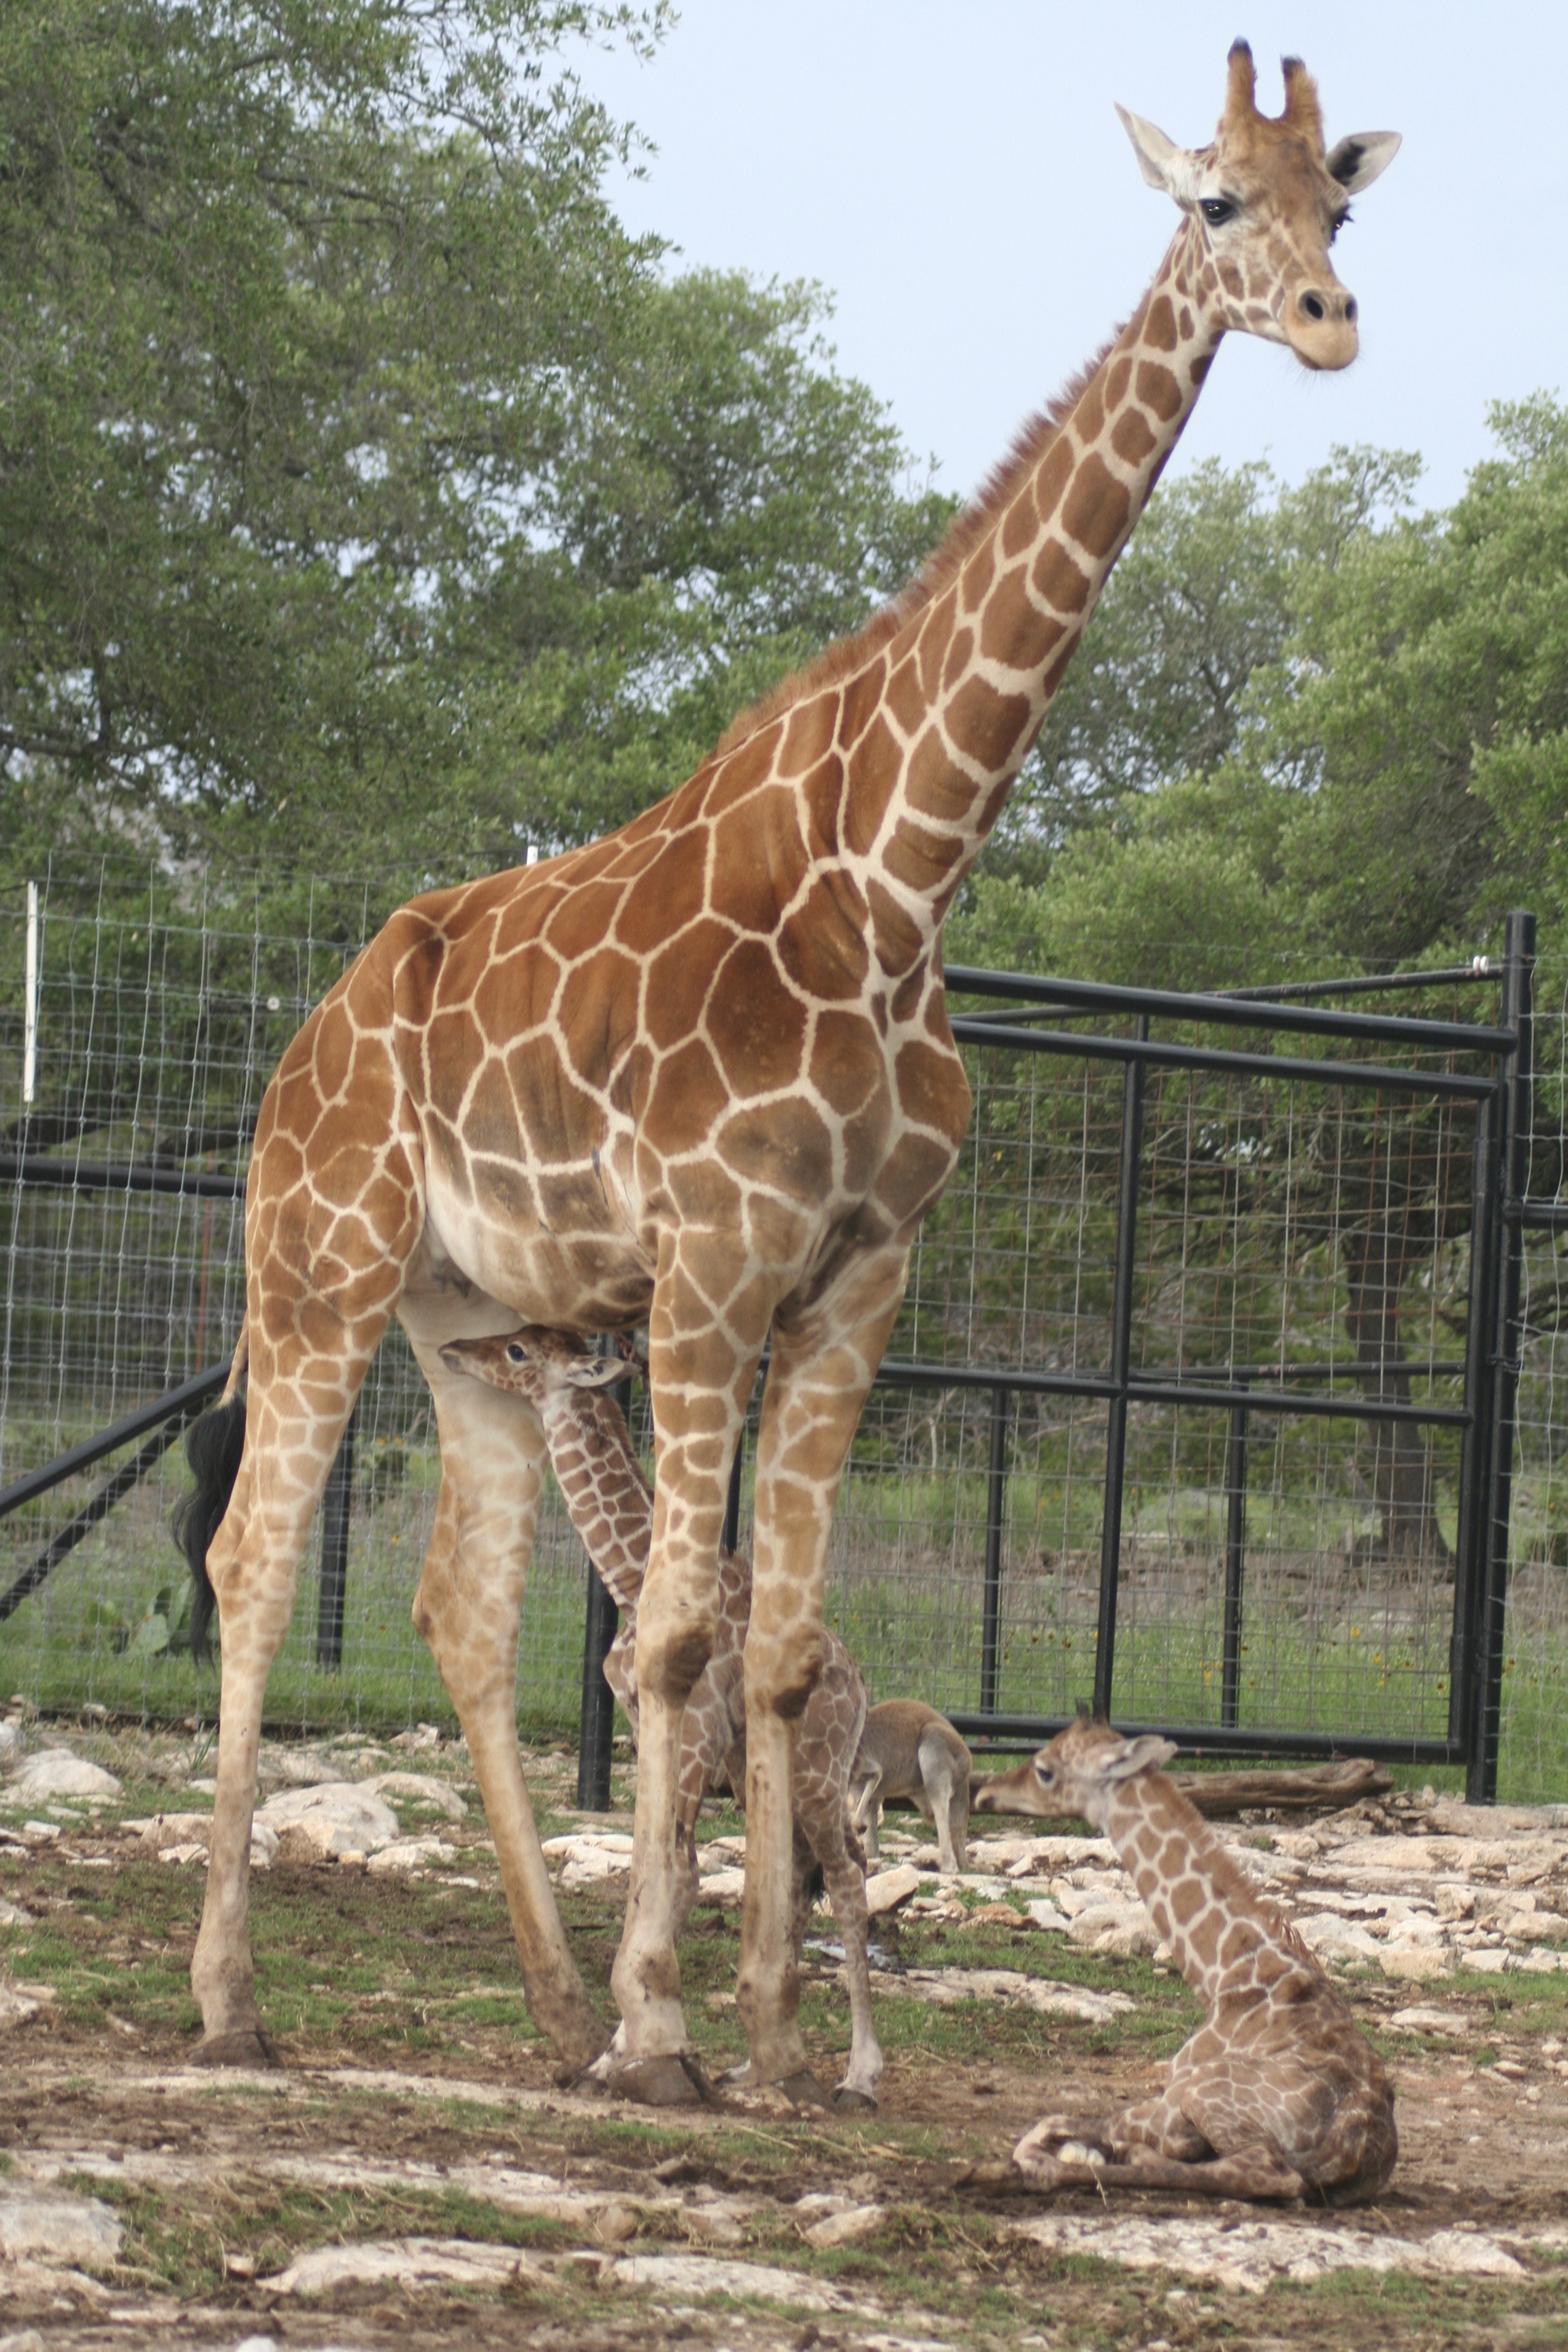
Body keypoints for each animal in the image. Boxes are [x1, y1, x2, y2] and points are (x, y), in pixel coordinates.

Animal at [439, 1326, 883, 2117]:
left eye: (519, 1352)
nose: (456, 1347)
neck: (626, 1574)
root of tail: (859, 1684)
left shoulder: (697, 1733)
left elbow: (679, 1873)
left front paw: (631, 2054)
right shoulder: (653, 1725)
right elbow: (670, 1870)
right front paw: (633, 2052)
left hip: (817, 1768)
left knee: (848, 1875)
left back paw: (859, 2076)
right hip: (774, 1770)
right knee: (801, 1877)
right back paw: (755, 2065)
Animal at [982, 1712, 1401, 2201]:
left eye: (1045, 1770)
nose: (985, 1791)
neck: (1223, 1975)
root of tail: (1356, 2147)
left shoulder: (1173, 2099)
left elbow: (1044, 2126)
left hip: (1205, 2097)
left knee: (1268, 2172)